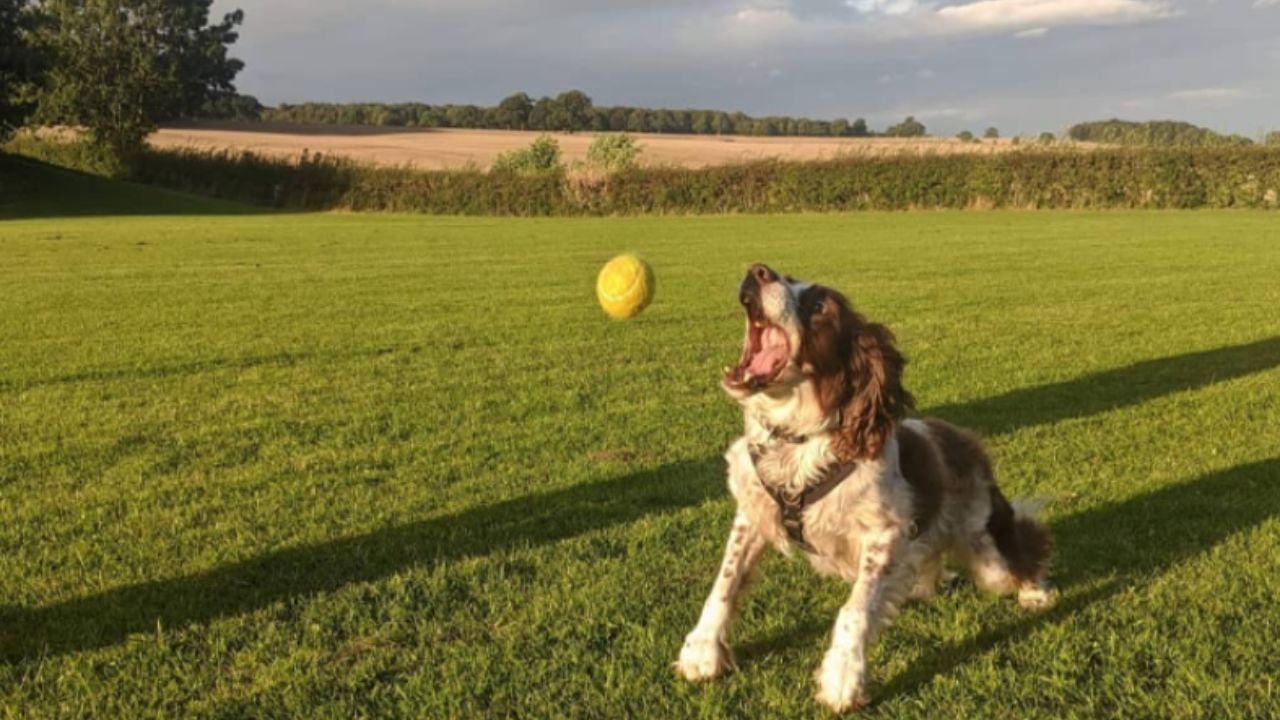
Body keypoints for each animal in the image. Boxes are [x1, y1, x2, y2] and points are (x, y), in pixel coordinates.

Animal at [675, 262, 1054, 707]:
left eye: (820, 307)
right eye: (787, 277)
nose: (758, 270)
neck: (798, 441)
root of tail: (965, 440)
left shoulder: (884, 535)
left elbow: (854, 610)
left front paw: (842, 677)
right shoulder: (752, 516)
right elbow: (725, 582)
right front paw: (702, 651)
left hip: (987, 549)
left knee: (1024, 547)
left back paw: (1035, 592)